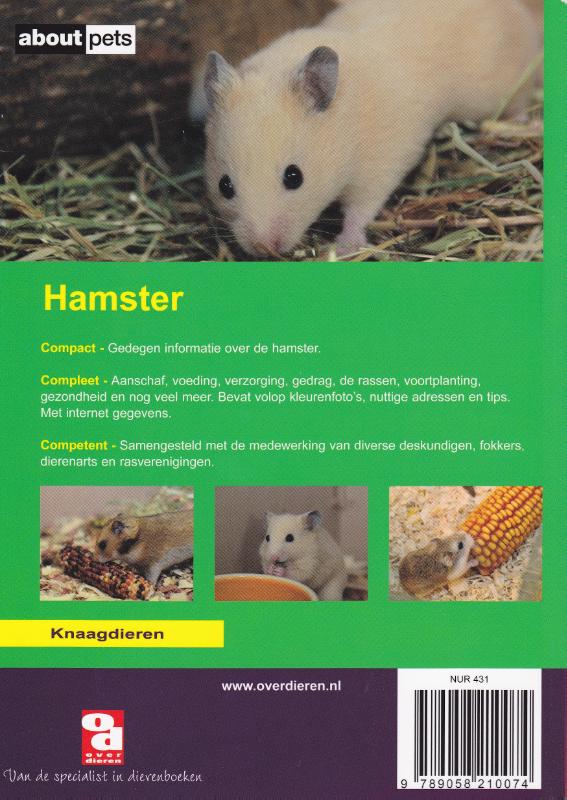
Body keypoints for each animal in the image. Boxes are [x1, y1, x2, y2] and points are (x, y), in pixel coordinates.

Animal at [201, 0, 542, 256]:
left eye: (294, 177)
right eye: (224, 186)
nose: (263, 248)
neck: (345, 127)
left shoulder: (381, 164)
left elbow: (361, 208)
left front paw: (345, 247)